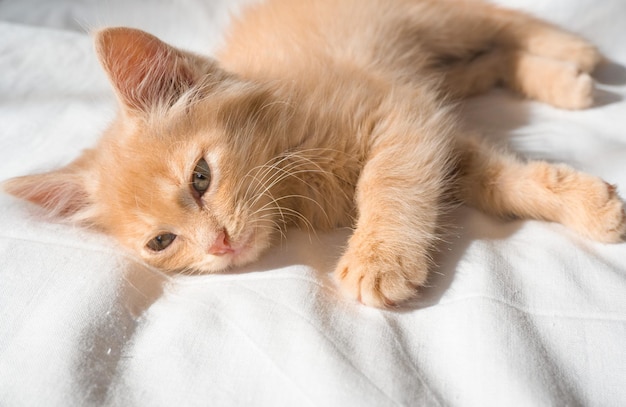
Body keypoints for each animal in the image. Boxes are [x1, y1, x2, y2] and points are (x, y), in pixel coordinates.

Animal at [4, 0, 624, 306]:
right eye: (161, 242)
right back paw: (562, 80)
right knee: (488, 59)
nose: (219, 244)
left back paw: (573, 52)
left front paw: (379, 259)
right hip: (438, 69)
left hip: (433, 21)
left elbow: (388, 181)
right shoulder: (431, 124)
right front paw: (588, 204)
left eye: (201, 178)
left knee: (502, 19)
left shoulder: (402, 113)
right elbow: (497, 179)